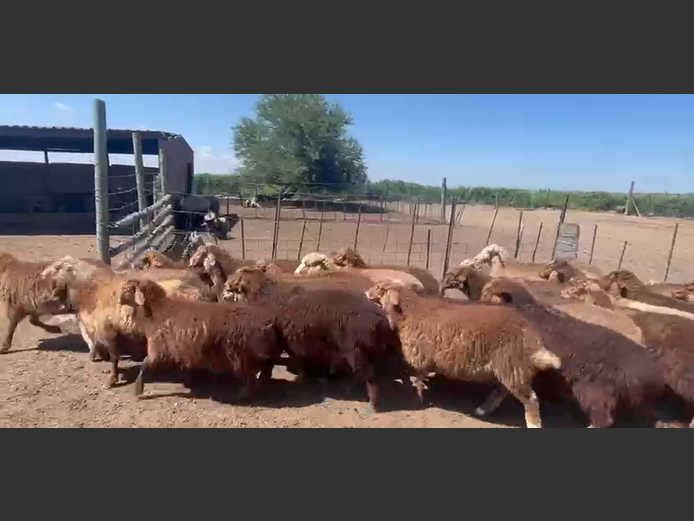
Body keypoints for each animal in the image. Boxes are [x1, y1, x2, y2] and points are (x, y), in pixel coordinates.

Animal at [118, 279, 283, 400]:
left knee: (252, 379)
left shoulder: (159, 350)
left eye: (128, 289)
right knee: (266, 369)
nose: (118, 301)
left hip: (242, 356)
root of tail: (268, 323)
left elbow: (144, 364)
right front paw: (186, 380)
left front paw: (138, 389)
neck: (158, 310)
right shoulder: (180, 349)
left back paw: (241, 396)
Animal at [364, 280, 563, 428]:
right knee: (502, 390)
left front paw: (417, 400)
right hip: (510, 367)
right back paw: (483, 410)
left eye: (381, 288)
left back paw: (533, 424)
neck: (412, 310)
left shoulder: (421, 356)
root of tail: (533, 339)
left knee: (531, 400)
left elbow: (418, 380)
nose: (365, 293)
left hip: (512, 365)